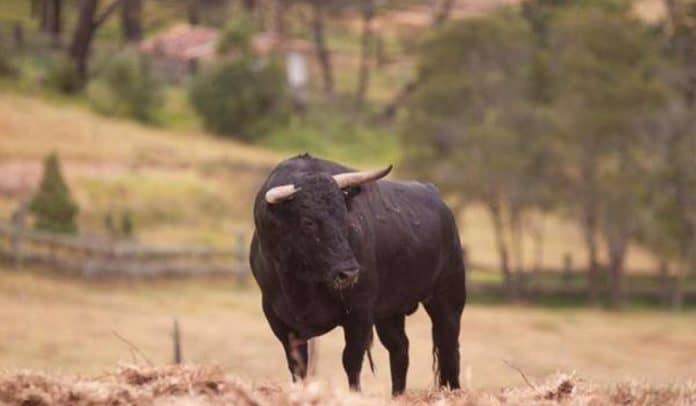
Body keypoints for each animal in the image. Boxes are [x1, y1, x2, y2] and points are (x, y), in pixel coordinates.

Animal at [247, 154, 464, 394]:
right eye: (308, 222)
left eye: (345, 217)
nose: (349, 272)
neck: (301, 284)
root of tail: (436, 195)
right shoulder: (278, 319)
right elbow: (298, 366)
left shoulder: (359, 312)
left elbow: (351, 360)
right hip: (389, 313)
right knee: (400, 349)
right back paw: (397, 395)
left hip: (448, 300)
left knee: (449, 349)